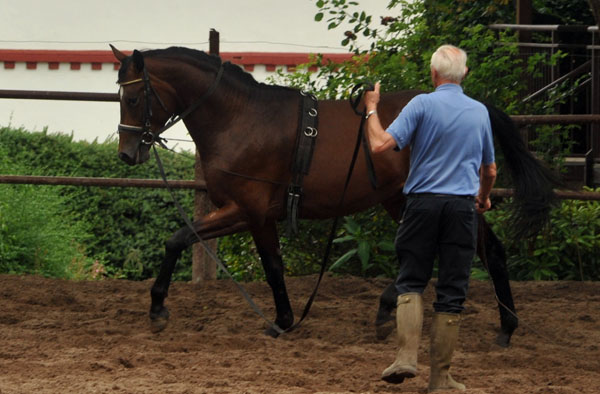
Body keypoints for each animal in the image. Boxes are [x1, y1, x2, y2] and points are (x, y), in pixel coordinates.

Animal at [111, 46, 556, 346]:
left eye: (132, 98)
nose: (127, 153)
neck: (241, 119)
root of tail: (474, 107)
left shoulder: (250, 210)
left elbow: (257, 262)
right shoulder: (246, 213)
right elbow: (192, 243)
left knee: (486, 251)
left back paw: (504, 326)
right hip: (399, 199)